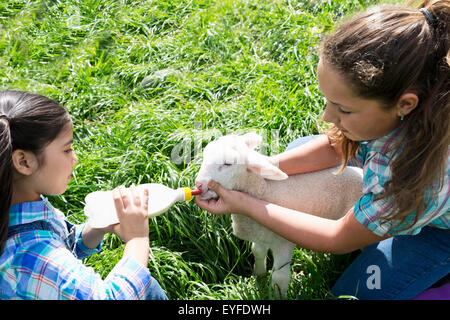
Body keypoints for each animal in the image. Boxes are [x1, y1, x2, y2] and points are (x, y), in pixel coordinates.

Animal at [195, 132, 364, 298]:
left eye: (228, 164)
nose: (198, 184)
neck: (265, 190)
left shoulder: (283, 242)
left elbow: (279, 278)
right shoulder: (259, 234)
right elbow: (257, 252)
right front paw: (260, 278)